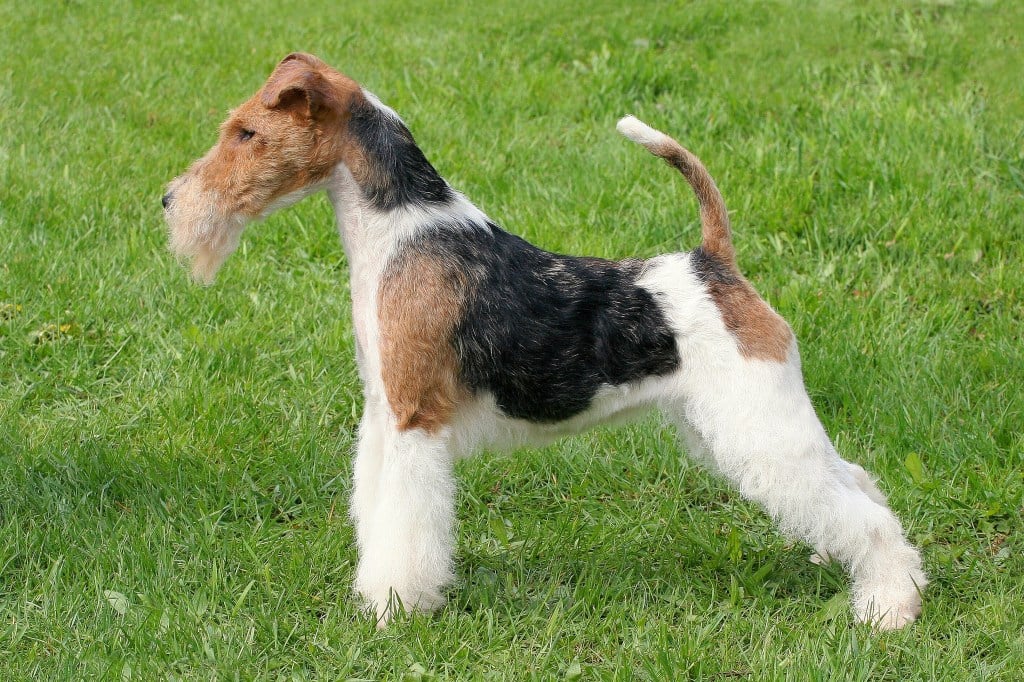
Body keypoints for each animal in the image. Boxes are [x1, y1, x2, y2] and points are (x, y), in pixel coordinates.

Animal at [165, 53, 929, 626]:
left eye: (246, 133)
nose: (170, 201)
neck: (401, 231)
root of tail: (715, 263)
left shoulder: (415, 418)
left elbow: (405, 527)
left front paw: (394, 610)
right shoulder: (384, 414)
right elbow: (376, 509)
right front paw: (374, 596)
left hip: (757, 418)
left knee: (862, 510)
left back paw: (888, 607)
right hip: (738, 420)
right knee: (854, 482)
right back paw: (842, 567)